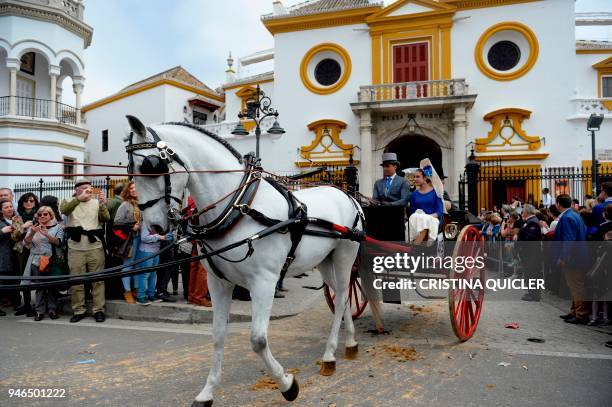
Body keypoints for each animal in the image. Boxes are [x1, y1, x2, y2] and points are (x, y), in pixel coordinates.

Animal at [125, 116, 364, 406]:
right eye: (130, 170)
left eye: (151, 166)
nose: (155, 227)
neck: (238, 205)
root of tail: (346, 194)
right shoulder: (218, 283)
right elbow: (217, 335)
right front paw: (207, 391)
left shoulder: (264, 282)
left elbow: (258, 340)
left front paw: (287, 384)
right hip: (324, 261)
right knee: (342, 296)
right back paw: (350, 343)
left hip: (344, 255)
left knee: (340, 298)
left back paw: (330, 355)